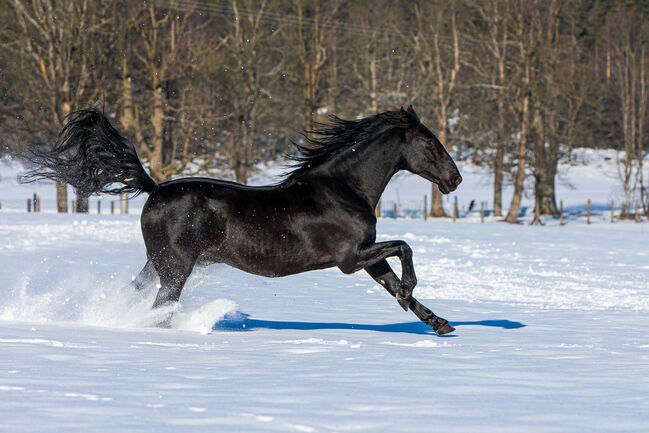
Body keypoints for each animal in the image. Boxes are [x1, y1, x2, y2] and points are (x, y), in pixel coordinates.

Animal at [24, 105, 460, 334]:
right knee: (161, 306)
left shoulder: (365, 256)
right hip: (176, 267)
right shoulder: (350, 258)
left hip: (158, 262)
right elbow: (404, 246)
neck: (342, 188)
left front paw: (438, 322)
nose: (454, 179)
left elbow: (391, 279)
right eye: (429, 141)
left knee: (136, 294)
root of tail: (154, 189)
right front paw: (412, 294)